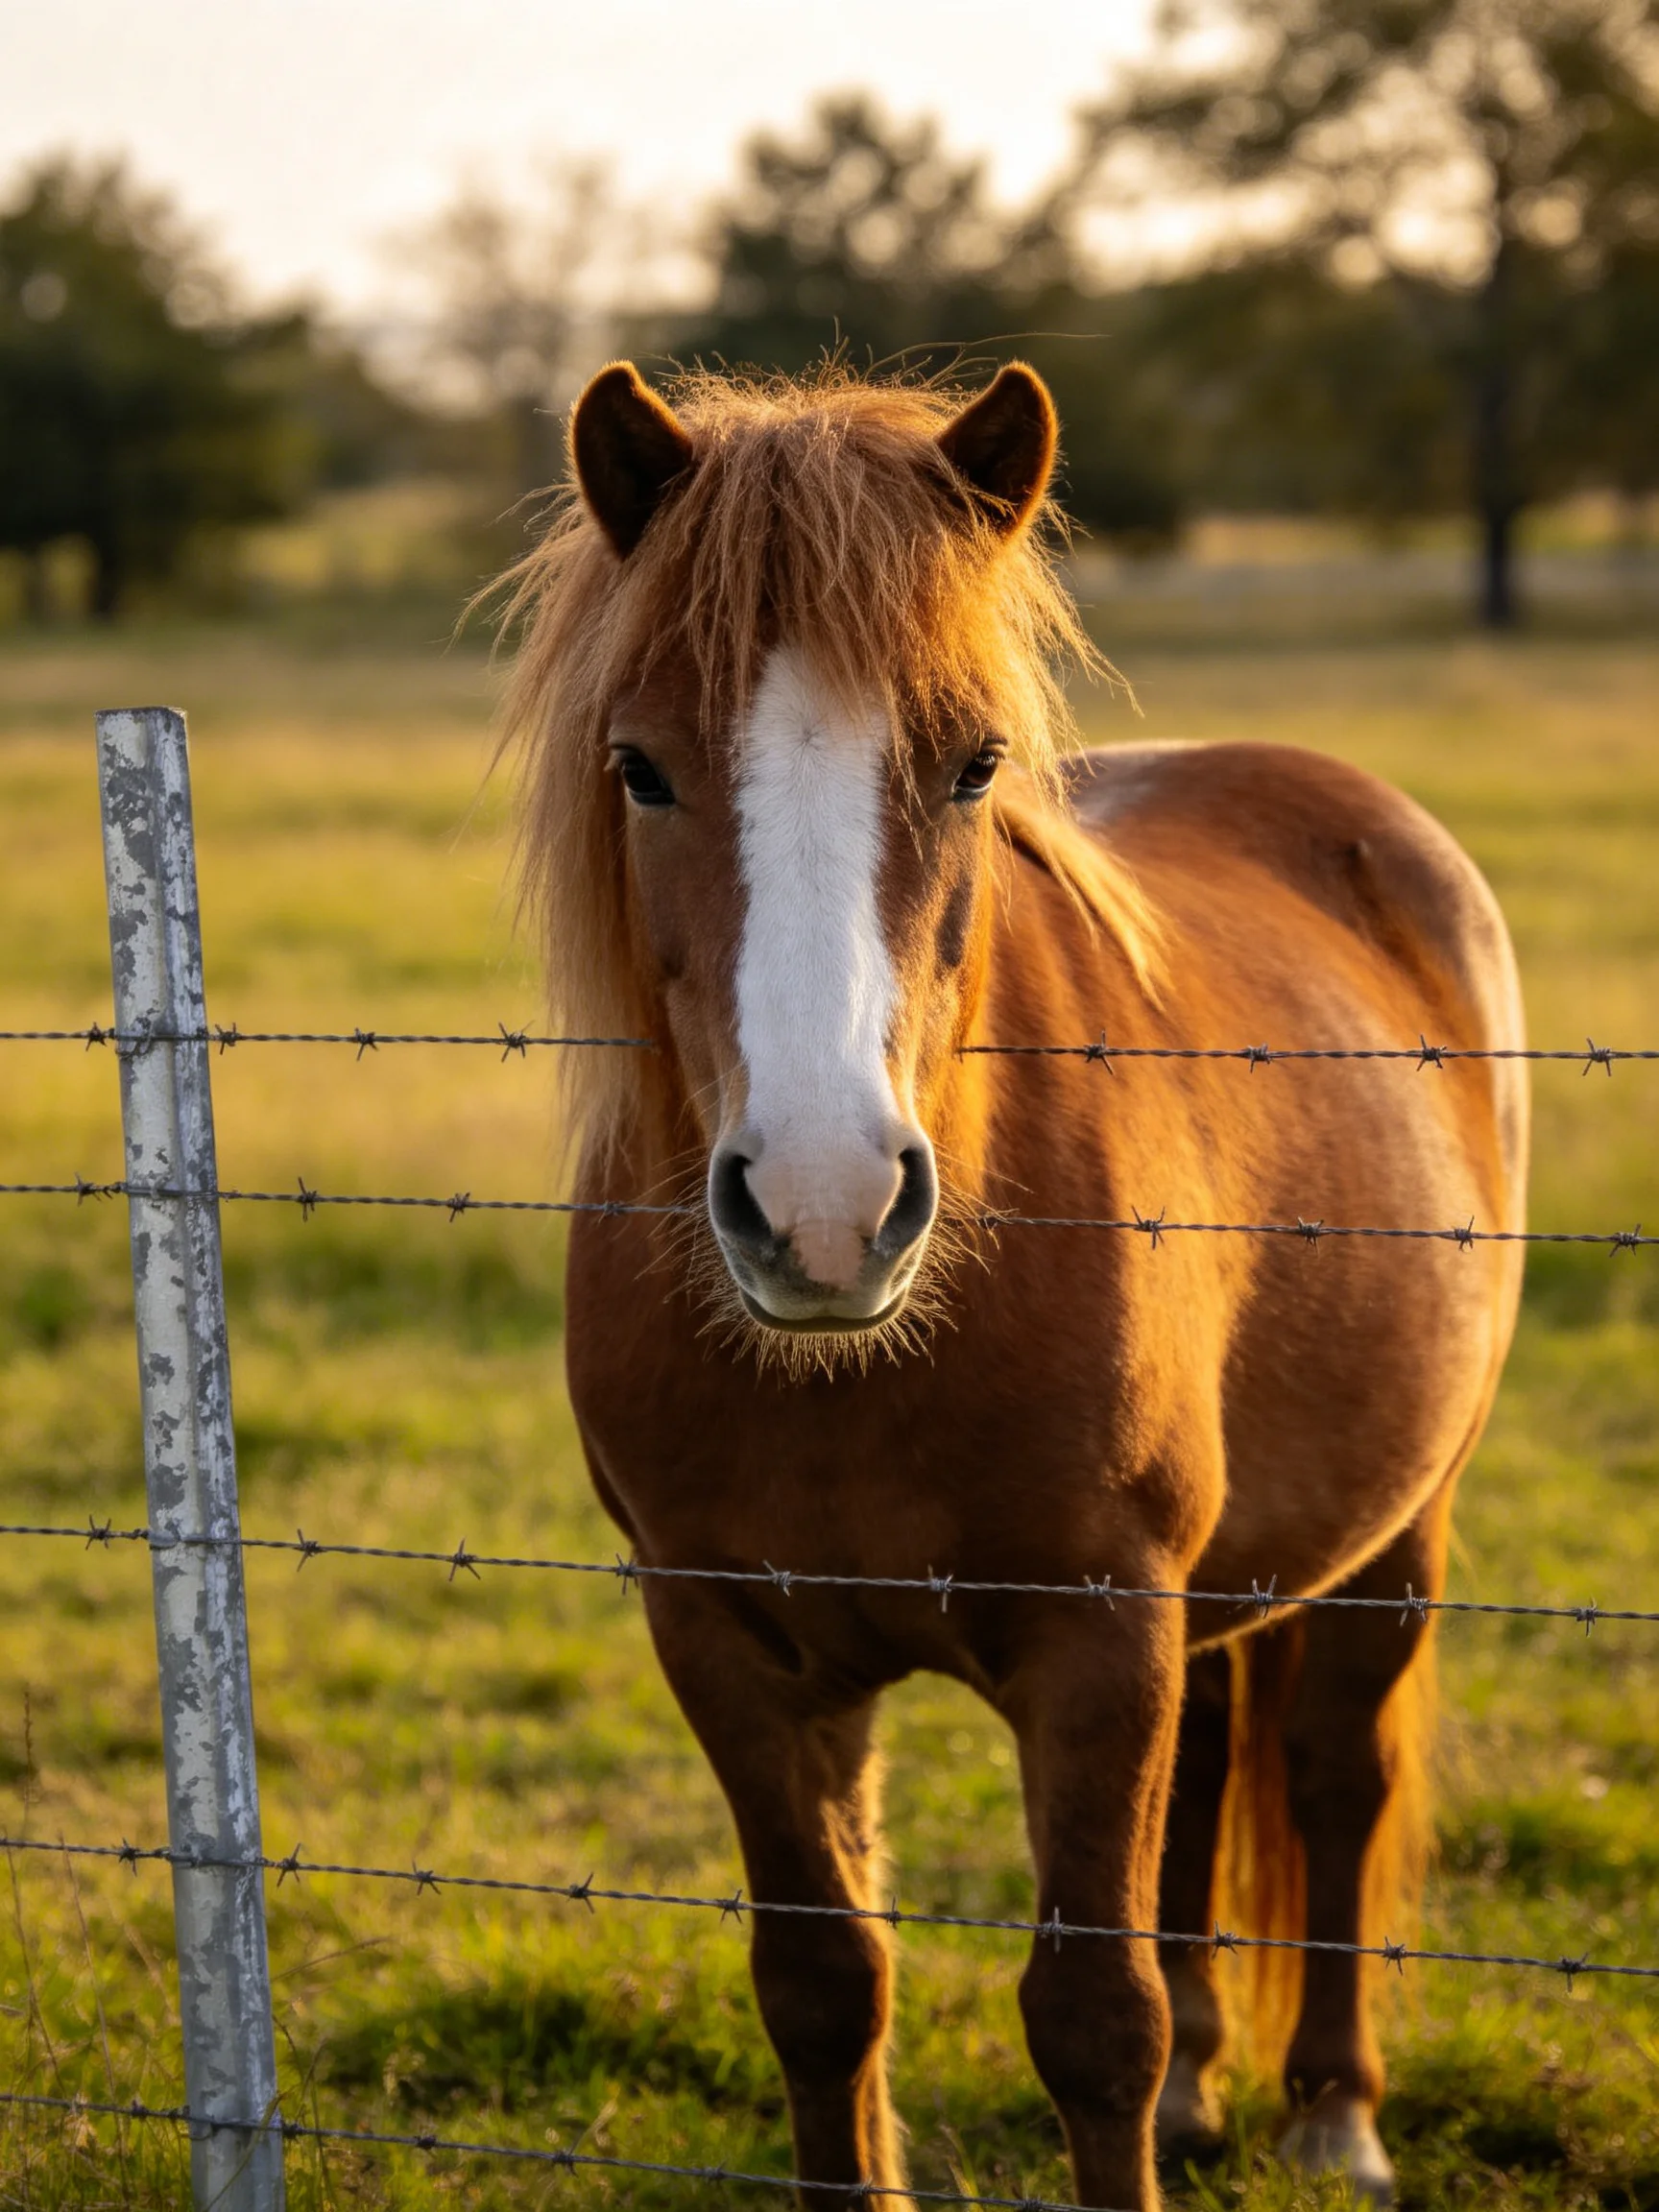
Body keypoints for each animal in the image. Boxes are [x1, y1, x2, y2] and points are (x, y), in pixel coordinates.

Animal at [496, 359, 1528, 2211]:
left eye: (974, 762)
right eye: (638, 766)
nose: (826, 1208)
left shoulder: (1098, 1633)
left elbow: (1090, 2015)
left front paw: (1171, 2083)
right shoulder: (725, 1636)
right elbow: (824, 1982)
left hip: (1397, 1526)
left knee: (1334, 1772)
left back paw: (1332, 2112)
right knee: (1215, 1762)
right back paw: (1211, 2091)